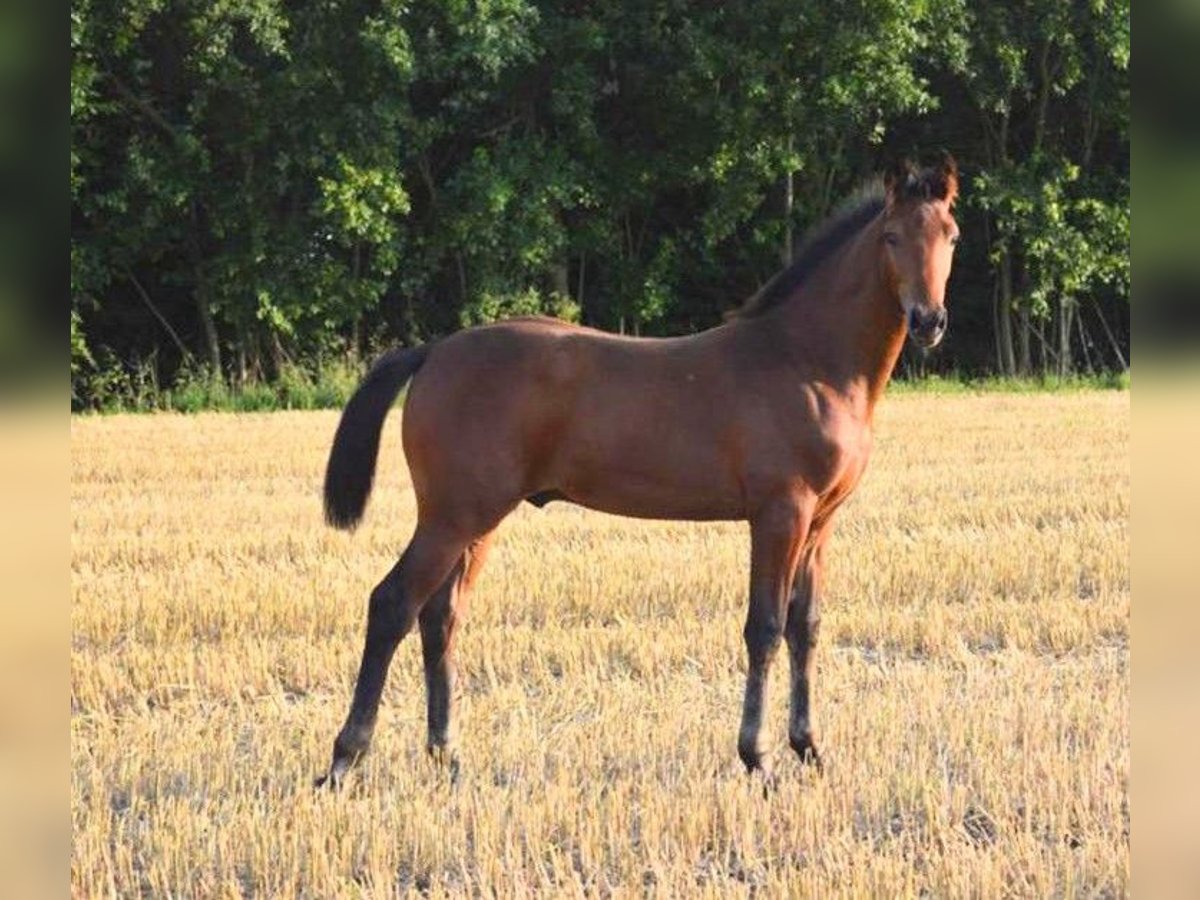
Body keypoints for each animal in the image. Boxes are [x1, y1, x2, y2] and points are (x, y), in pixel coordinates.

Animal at [314, 157, 960, 787]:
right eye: (891, 235)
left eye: (950, 235)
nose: (928, 320)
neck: (807, 363)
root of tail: (434, 351)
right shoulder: (780, 514)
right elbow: (766, 628)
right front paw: (759, 758)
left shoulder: (820, 522)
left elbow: (807, 628)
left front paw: (810, 749)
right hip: (452, 517)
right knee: (392, 604)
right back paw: (345, 760)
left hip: (477, 522)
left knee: (440, 618)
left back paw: (447, 755)